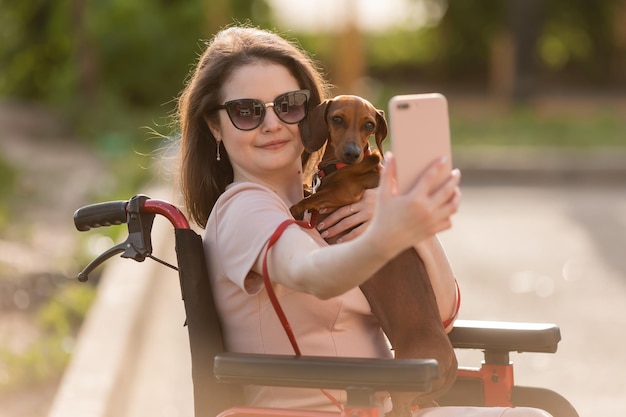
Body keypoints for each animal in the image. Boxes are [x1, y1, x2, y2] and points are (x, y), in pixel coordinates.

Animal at [290, 96, 456, 414]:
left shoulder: (344, 194)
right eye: (337, 119)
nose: (353, 153)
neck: (339, 167)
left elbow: (307, 200)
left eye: (369, 124)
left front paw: (299, 206)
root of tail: (450, 361)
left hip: (402, 391)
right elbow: (309, 192)